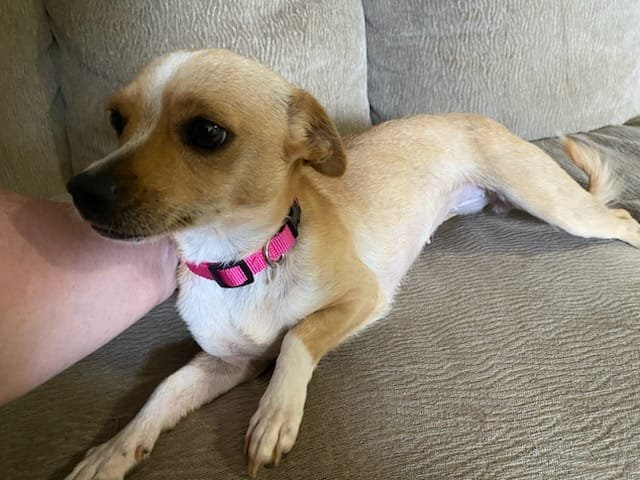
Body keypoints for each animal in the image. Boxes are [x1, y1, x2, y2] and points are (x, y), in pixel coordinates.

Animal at [64, 49, 640, 479]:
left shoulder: (364, 297)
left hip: (556, 204)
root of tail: (472, 117)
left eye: (207, 132)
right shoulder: (227, 363)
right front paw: (112, 451)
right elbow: (163, 392)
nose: (79, 190)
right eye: (116, 120)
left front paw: (275, 413)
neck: (243, 260)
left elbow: (297, 337)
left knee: (621, 219)